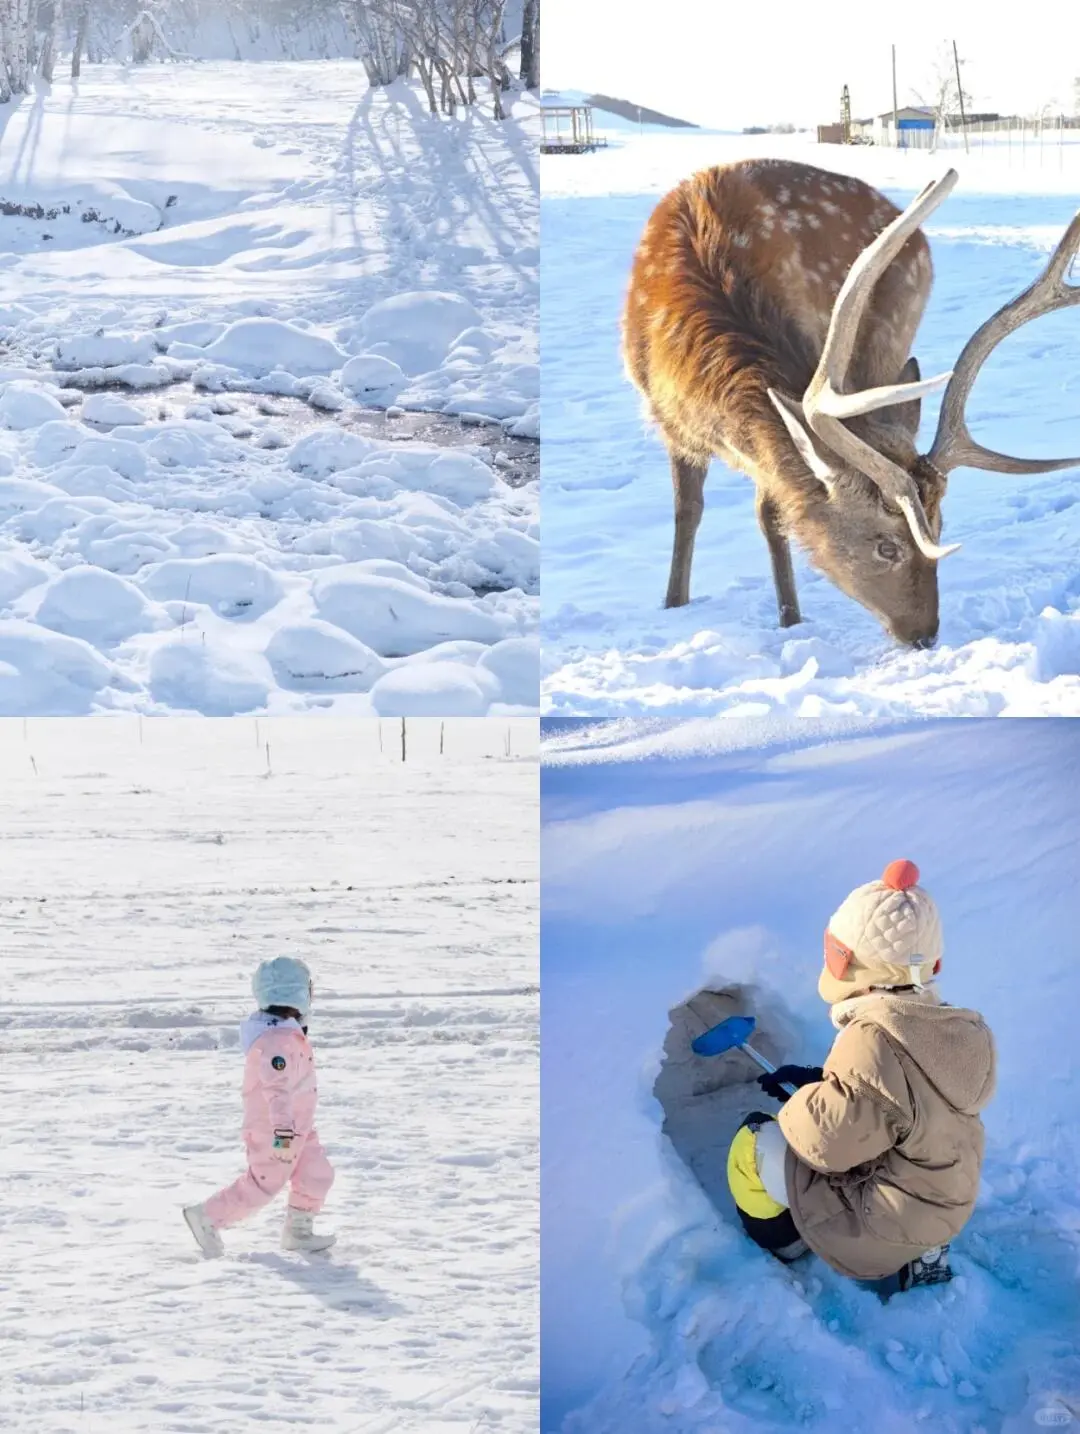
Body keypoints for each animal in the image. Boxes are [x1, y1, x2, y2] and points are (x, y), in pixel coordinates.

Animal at [619, 161, 1078, 645]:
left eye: (940, 526)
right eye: (886, 546)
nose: (926, 635)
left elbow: (771, 513)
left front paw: (790, 620)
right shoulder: (668, 422)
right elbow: (687, 511)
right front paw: (674, 603)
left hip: (889, 341)